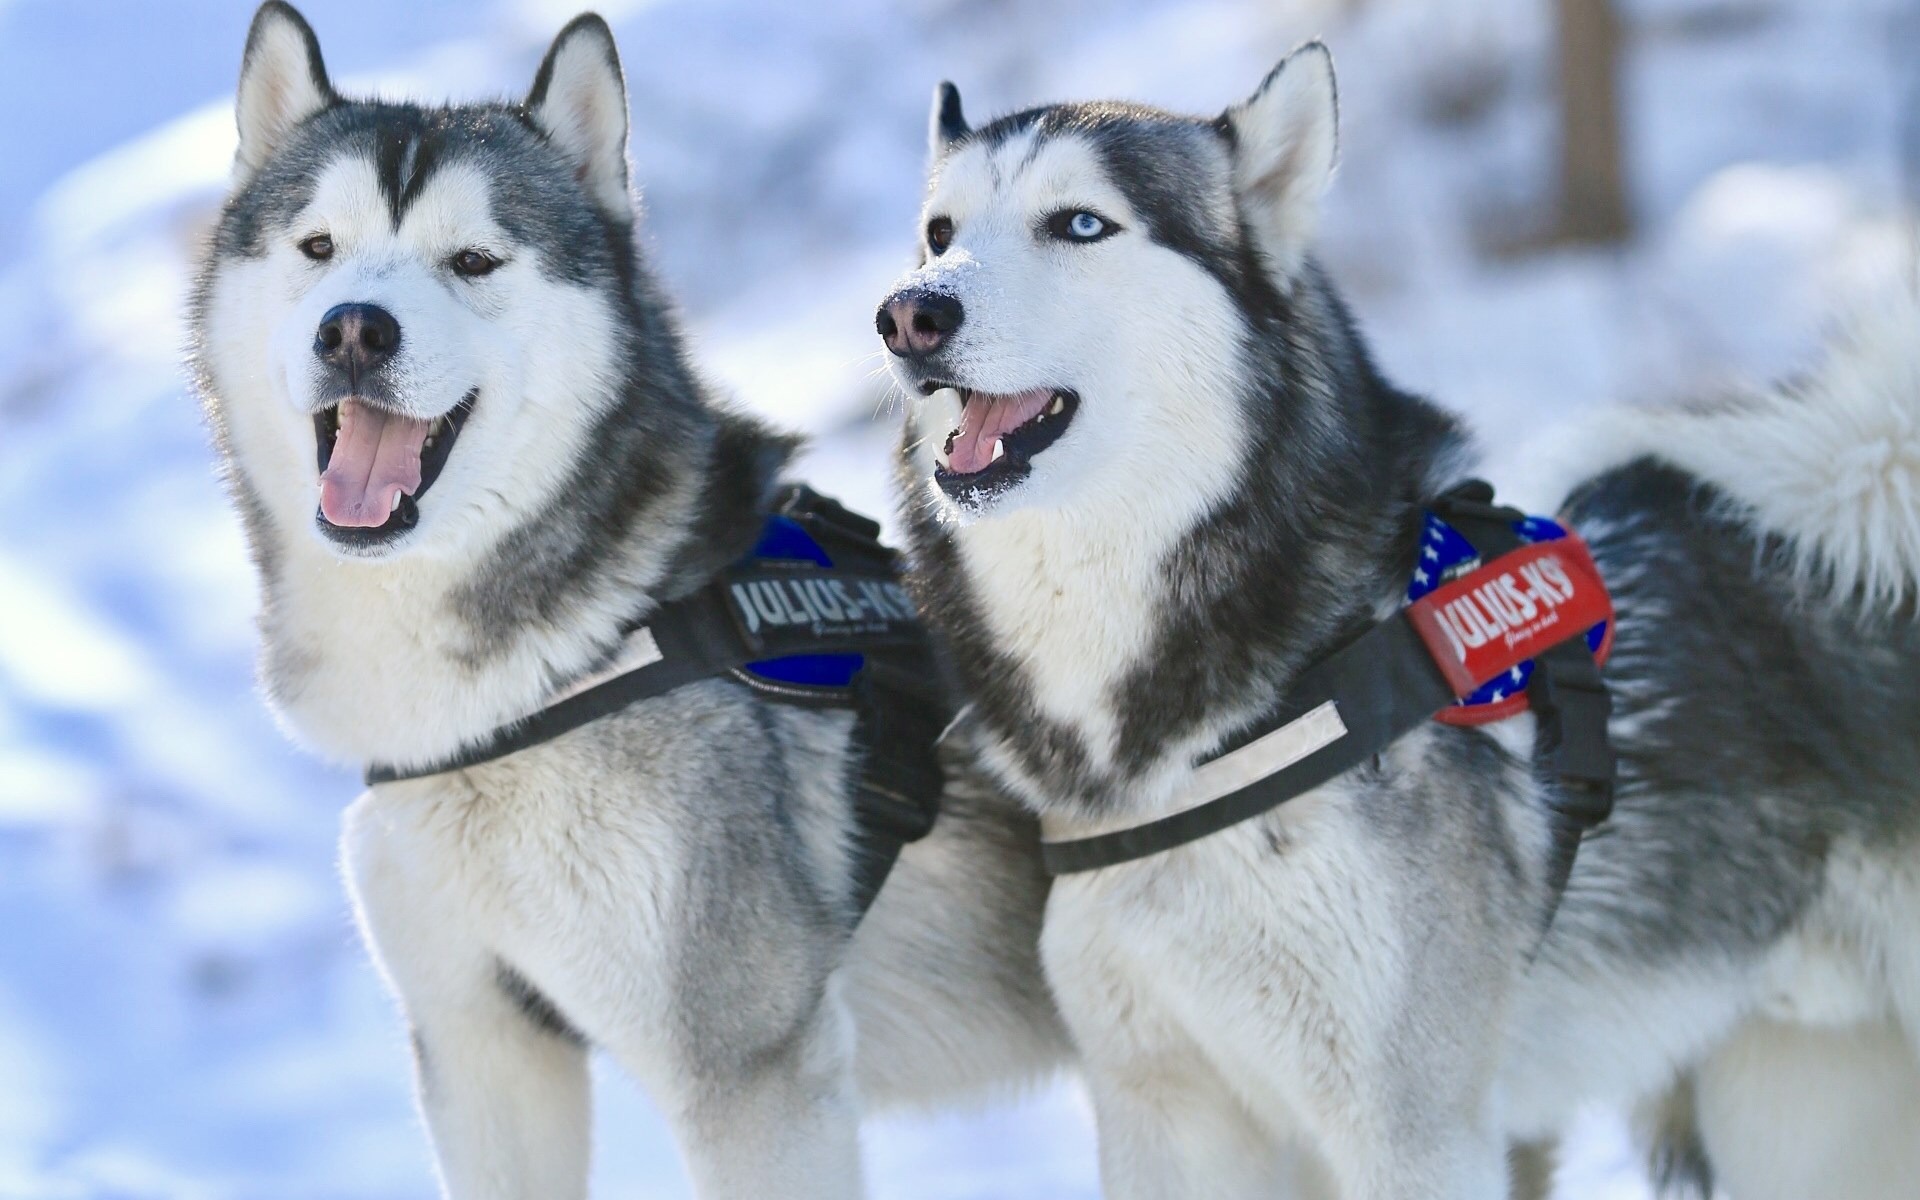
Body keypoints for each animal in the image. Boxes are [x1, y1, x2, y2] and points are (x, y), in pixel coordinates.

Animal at [196, 4, 1075, 1190]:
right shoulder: (481, 1047)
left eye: (473, 260)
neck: (545, 674)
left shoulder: (751, 1074)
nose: (354, 328)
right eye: (317, 248)